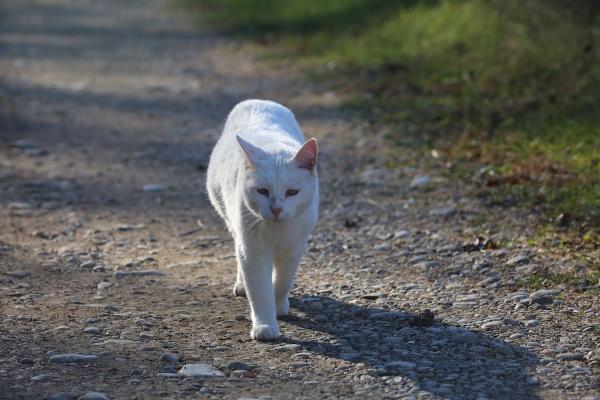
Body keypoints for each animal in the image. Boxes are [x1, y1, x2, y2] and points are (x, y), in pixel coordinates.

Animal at [206, 98, 318, 340]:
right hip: (231, 220)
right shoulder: (253, 249)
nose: (276, 209)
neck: (276, 231)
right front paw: (265, 325)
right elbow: (260, 290)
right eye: (263, 191)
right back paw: (241, 285)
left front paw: (280, 306)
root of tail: (258, 101)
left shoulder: (294, 247)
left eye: (292, 192)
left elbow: (283, 280)